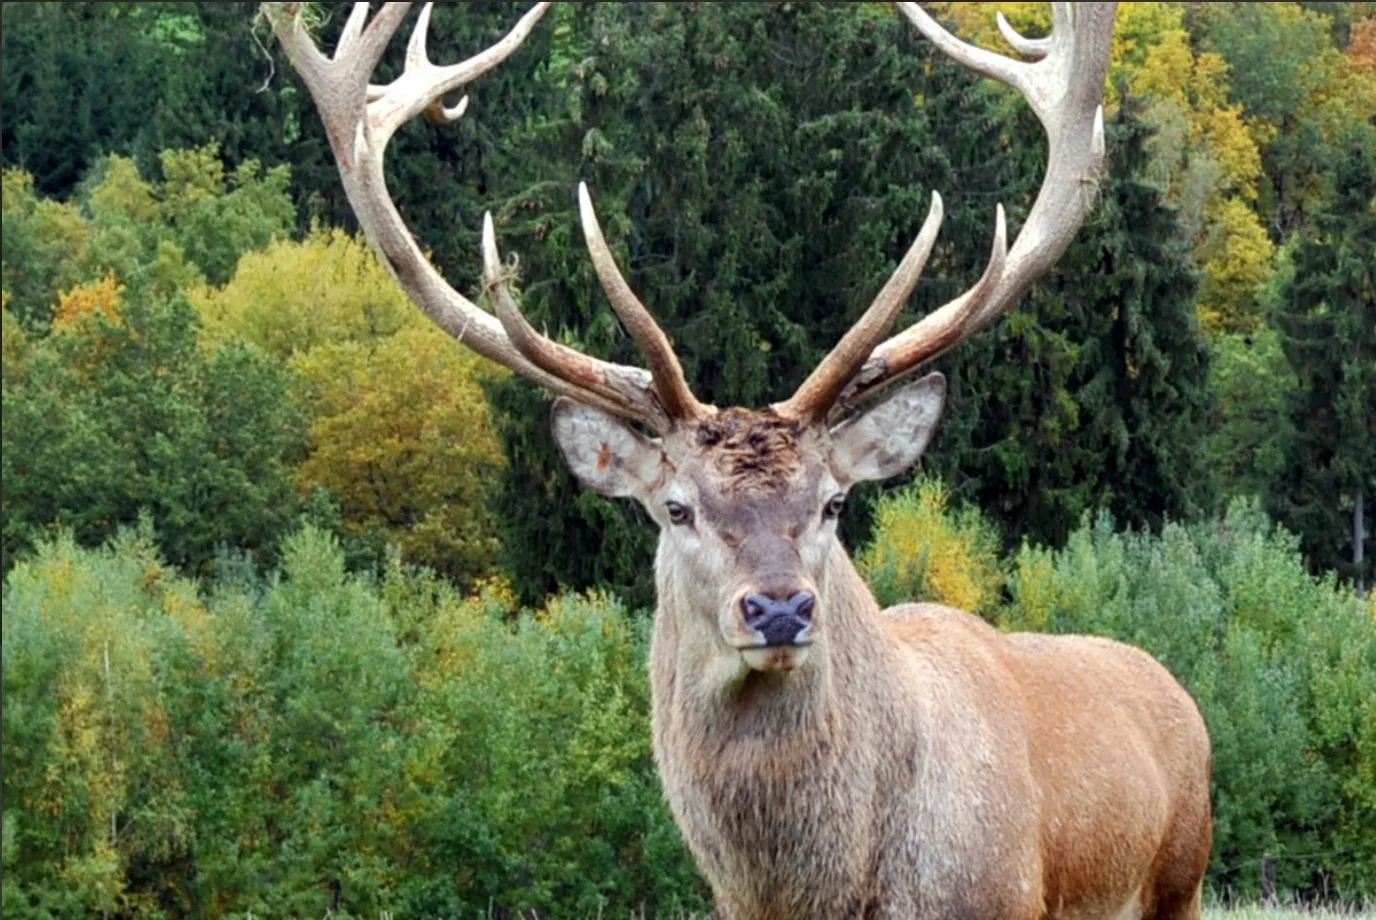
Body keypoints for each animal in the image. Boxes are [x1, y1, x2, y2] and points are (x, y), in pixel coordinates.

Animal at [268, 2, 1212, 918]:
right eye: (676, 507)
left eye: (834, 502)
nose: (781, 608)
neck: (810, 897)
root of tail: (1177, 695)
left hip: (1183, 875)